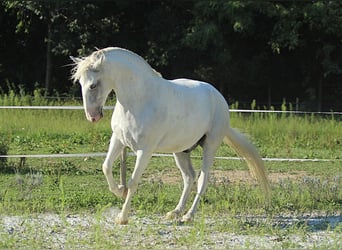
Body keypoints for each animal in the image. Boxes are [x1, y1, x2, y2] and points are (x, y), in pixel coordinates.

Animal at [71, 47, 270, 225]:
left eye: (93, 85)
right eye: (80, 83)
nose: (93, 117)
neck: (138, 100)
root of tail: (219, 98)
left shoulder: (145, 150)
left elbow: (134, 181)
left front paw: (123, 217)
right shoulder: (119, 140)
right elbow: (106, 167)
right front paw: (120, 191)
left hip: (210, 146)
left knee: (202, 179)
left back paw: (188, 216)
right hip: (181, 150)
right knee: (189, 177)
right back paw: (175, 212)